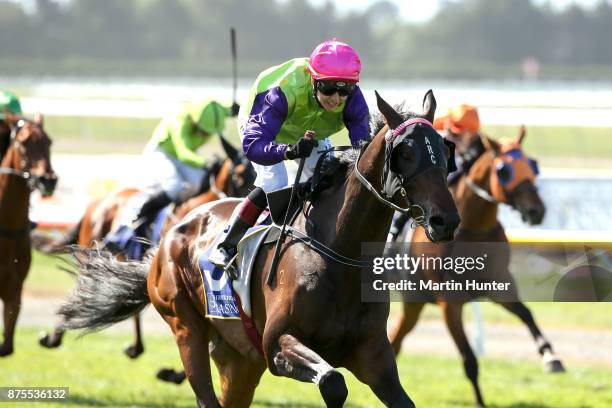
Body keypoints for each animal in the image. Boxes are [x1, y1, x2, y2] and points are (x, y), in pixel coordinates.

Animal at [36, 142, 256, 358]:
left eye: (255, 175)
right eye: (238, 175)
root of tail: (98, 202)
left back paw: (135, 347)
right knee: (83, 291)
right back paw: (56, 336)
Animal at [388, 129, 564, 406]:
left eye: (532, 164)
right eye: (504, 170)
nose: (537, 210)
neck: (474, 229)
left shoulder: (499, 286)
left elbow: (526, 314)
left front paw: (551, 356)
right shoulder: (449, 303)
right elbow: (469, 360)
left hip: (413, 301)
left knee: (396, 339)